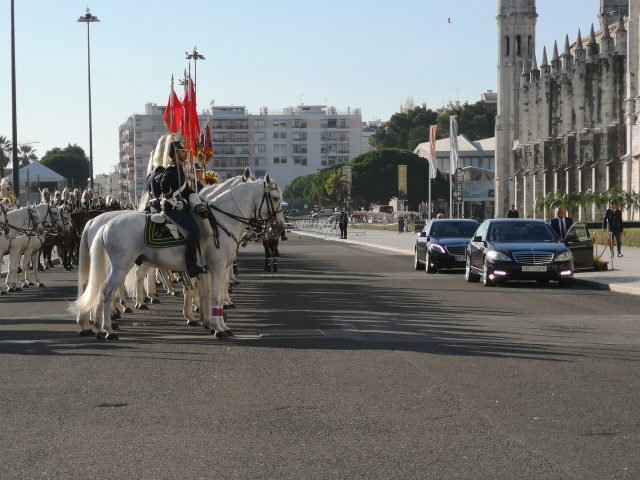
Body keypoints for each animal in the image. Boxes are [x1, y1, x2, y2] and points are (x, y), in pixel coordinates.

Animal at [69, 174, 284, 340]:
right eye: (274, 197)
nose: (279, 227)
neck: (221, 221)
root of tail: (104, 223)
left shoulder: (209, 269)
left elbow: (206, 293)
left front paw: (212, 323)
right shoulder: (216, 266)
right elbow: (214, 295)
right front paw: (218, 328)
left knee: (99, 288)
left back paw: (96, 326)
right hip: (122, 266)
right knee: (107, 291)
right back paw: (109, 329)